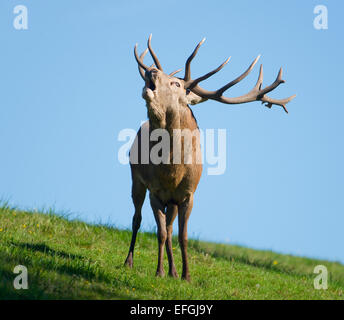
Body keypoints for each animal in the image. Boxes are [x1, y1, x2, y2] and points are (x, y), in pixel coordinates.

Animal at [124, 33, 296, 282]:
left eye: (176, 83)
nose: (152, 71)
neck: (172, 172)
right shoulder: (155, 191)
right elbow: (161, 233)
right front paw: (159, 272)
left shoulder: (188, 194)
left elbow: (182, 237)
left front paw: (185, 276)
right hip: (136, 178)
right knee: (136, 219)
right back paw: (129, 262)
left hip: (170, 200)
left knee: (170, 226)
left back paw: (173, 271)